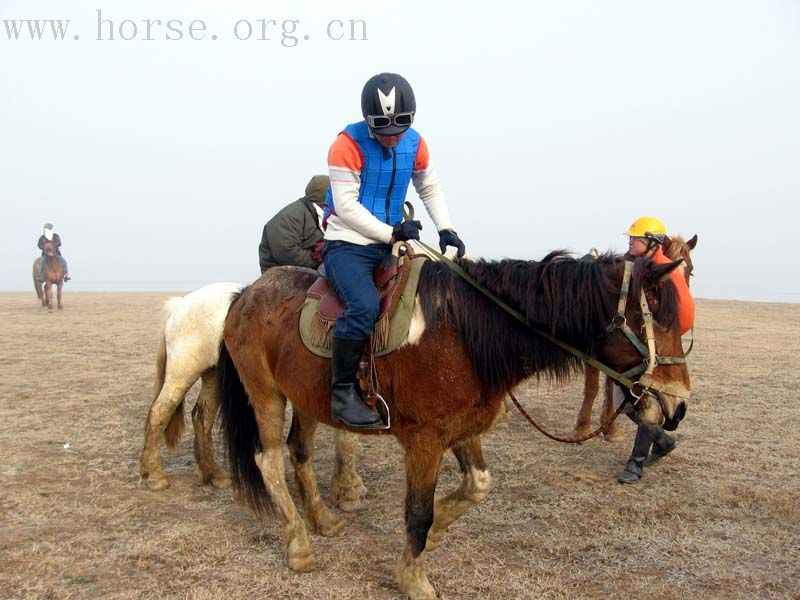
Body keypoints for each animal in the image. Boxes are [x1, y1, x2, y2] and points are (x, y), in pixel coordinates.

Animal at [139, 282, 370, 510]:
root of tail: (181, 303)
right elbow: (347, 438)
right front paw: (348, 493)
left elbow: (348, 438)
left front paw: (350, 486)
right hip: (182, 372)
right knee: (160, 412)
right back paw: (155, 476)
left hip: (213, 375)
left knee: (201, 417)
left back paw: (213, 474)